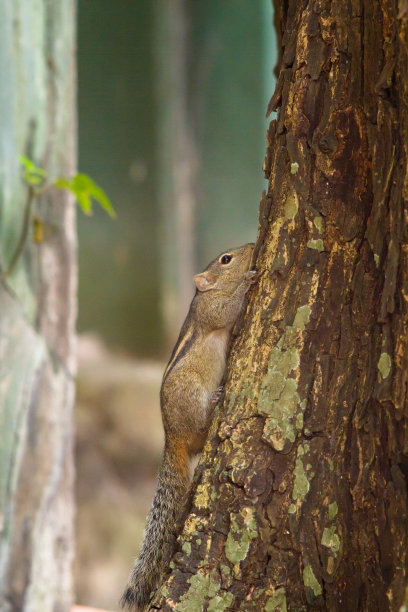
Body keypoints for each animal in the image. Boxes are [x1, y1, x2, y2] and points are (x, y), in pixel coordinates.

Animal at [119, 243, 256, 608]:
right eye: (226, 259)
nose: (253, 246)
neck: (205, 292)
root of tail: (172, 438)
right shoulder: (213, 310)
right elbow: (226, 310)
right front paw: (248, 281)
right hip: (192, 398)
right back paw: (216, 400)